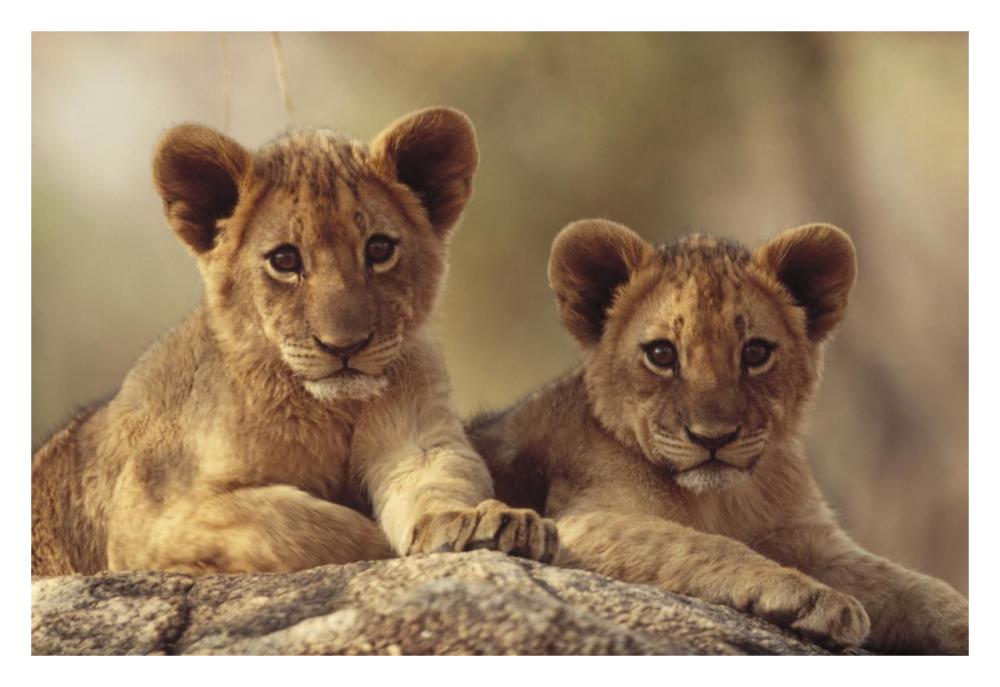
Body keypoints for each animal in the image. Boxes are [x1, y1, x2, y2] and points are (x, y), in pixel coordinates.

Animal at [32, 107, 557, 577]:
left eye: (379, 249)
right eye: (284, 260)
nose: (344, 346)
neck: (333, 413)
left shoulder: (421, 436)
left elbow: (440, 479)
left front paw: (483, 522)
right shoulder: (149, 515)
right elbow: (297, 524)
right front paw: (382, 547)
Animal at [467, 218, 968, 654]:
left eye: (756, 352)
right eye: (661, 354)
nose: (713, 438)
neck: (724, 500)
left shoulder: (815, 539)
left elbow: (911, 585)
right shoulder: (584, 523)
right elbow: (702, 544)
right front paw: (814, 598)